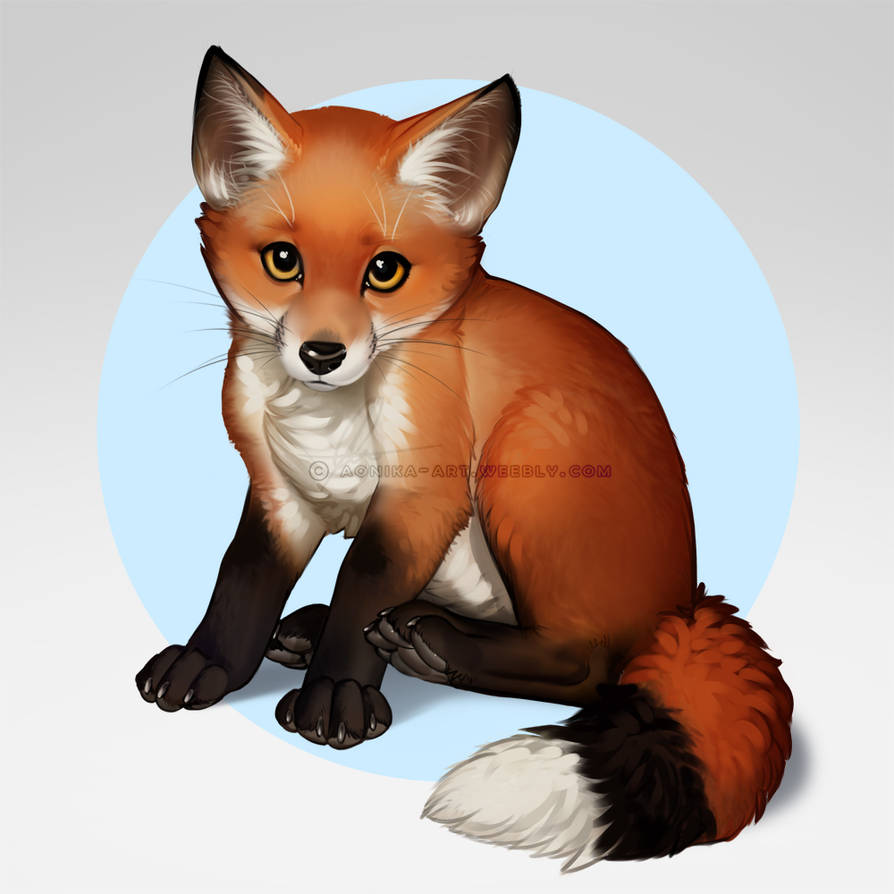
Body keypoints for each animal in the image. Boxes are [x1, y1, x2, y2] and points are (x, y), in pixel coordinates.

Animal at [136, 46, 793, 870]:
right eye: (284, 261)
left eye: (384, 272)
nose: (323, 354)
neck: (328, 421)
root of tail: (684, 599)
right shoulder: (279, 492)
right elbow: (241, 582)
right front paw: (213, 664)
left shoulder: (424, 493)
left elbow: (361, 587)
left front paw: (337, 694)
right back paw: (346, 628)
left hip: (522, 458)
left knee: (590, 666)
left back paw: (436, 648)